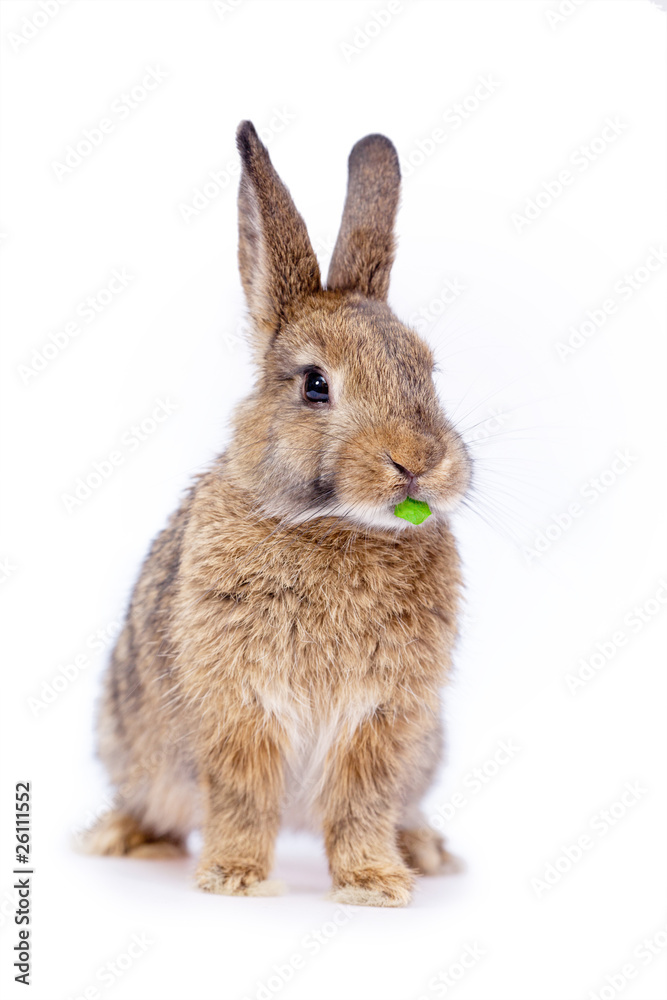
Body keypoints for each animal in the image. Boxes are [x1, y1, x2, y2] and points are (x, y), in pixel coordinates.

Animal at [82, 120, 472, 907]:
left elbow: (361, 805)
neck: (337, 524)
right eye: (315, 385)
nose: (418, 461)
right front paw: (234, 879)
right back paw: (123, 838)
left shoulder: (382, 719)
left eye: (426, 369)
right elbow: (243, 797)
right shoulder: (239, 706)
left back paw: (424, 850)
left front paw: (374, 886)